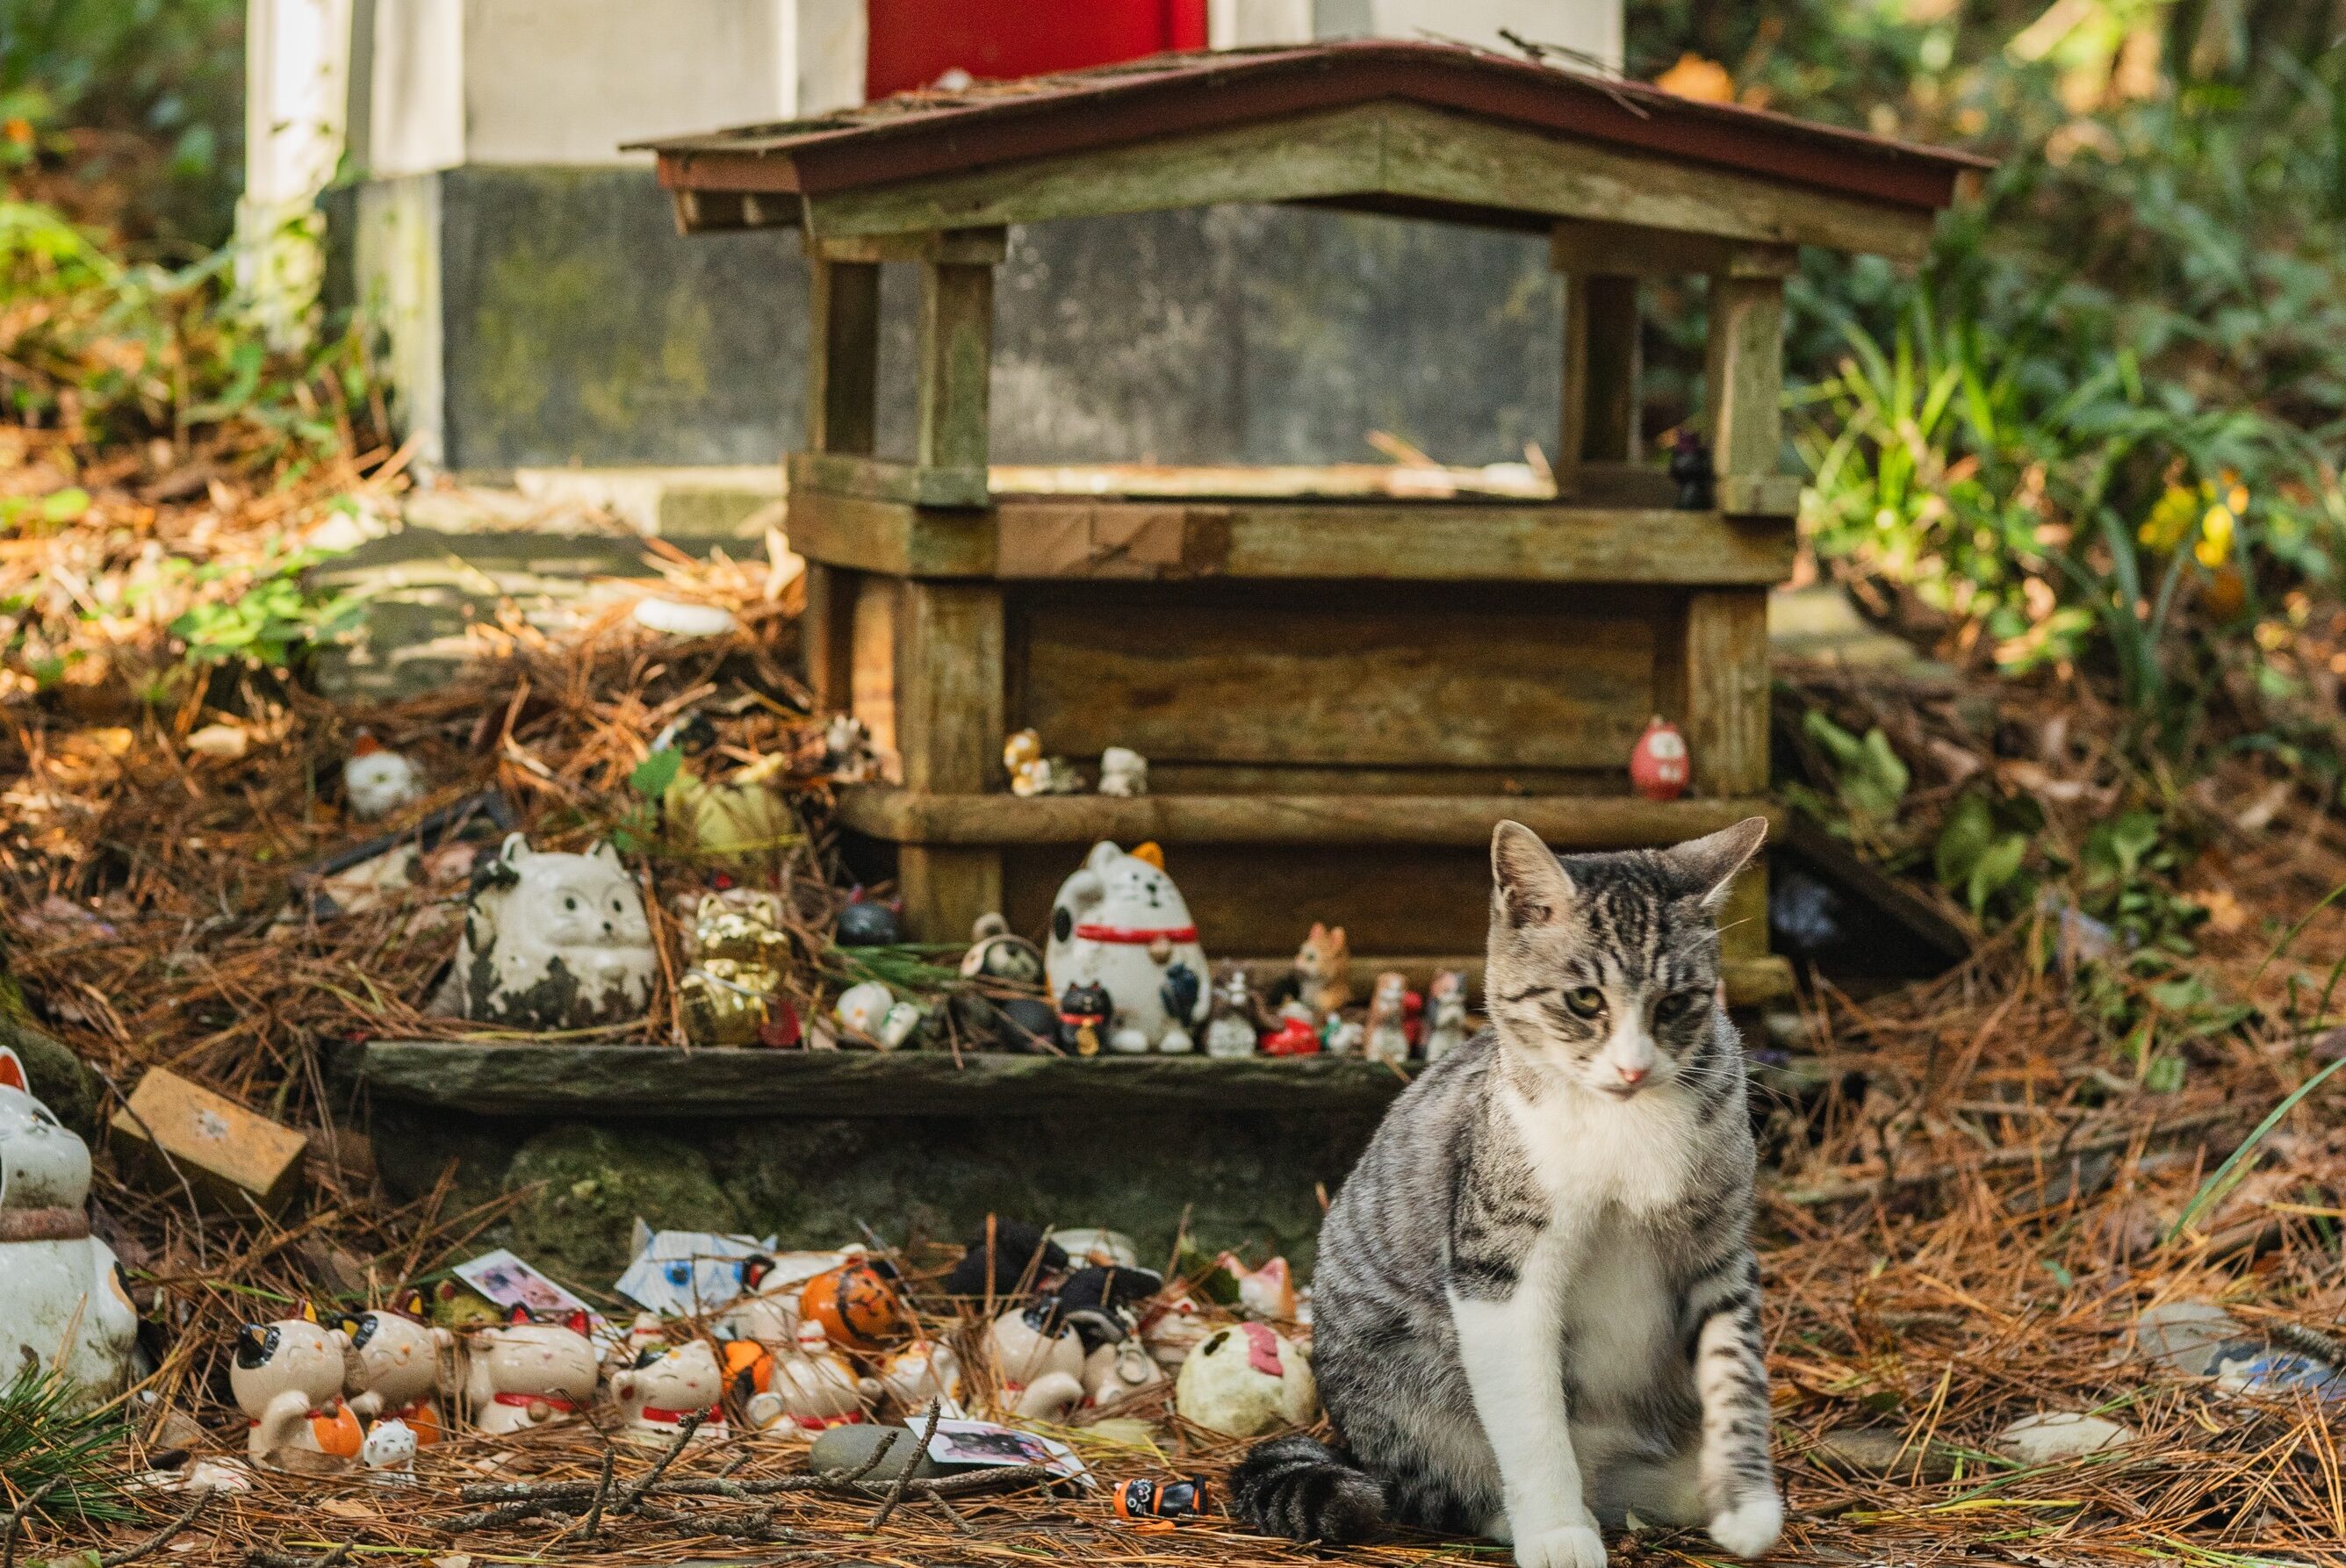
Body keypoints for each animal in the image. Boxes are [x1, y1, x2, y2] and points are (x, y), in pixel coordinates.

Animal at [1238, 816, 1764, 1558]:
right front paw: (1556, 1533)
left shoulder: (1720, 1249)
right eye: (1585, 999)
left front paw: (1751, 1506)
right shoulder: (1498, 1264)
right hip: (1405, 1394)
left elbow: (1735, 1372)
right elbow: (1530, 1415)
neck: (1624, 1128)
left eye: (1676, 1004)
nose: (1633, 1069)